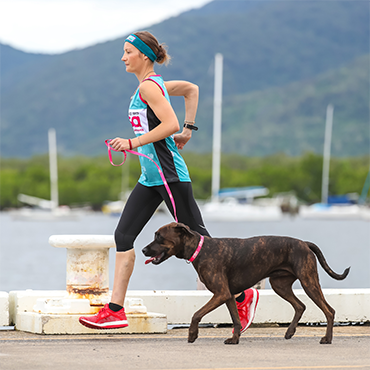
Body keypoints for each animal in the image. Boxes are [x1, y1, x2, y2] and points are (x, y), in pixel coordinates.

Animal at [142, 221, 350, 346]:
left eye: (159, 236)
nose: (143, 249)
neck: (200, 250)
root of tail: (305, 243)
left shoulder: (220, 293)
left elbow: (196, 314)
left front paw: (192, 334)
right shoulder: (227, 296)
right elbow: (235, 319)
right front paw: (234, 339)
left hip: (309, 281)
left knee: (329, 310)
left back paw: (327, 338)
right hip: (280, 285)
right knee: (300, 306)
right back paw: (290, 332)